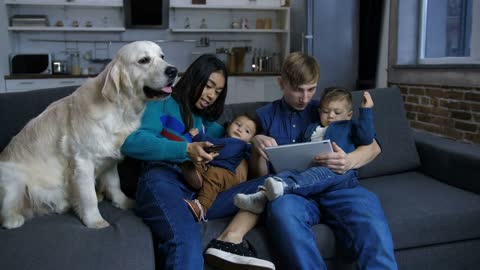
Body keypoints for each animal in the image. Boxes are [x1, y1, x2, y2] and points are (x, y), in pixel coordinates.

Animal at [0, 41, 178, 229]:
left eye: (162, 56)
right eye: (144, 60)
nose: (173, 71)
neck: (119, 109)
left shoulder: (109, 159)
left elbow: (115, 185)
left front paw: (124, 202)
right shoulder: (82, 162)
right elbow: (88, 196)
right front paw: (95, 221)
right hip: (15, 181)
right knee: (7, 212)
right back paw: (14, 219)